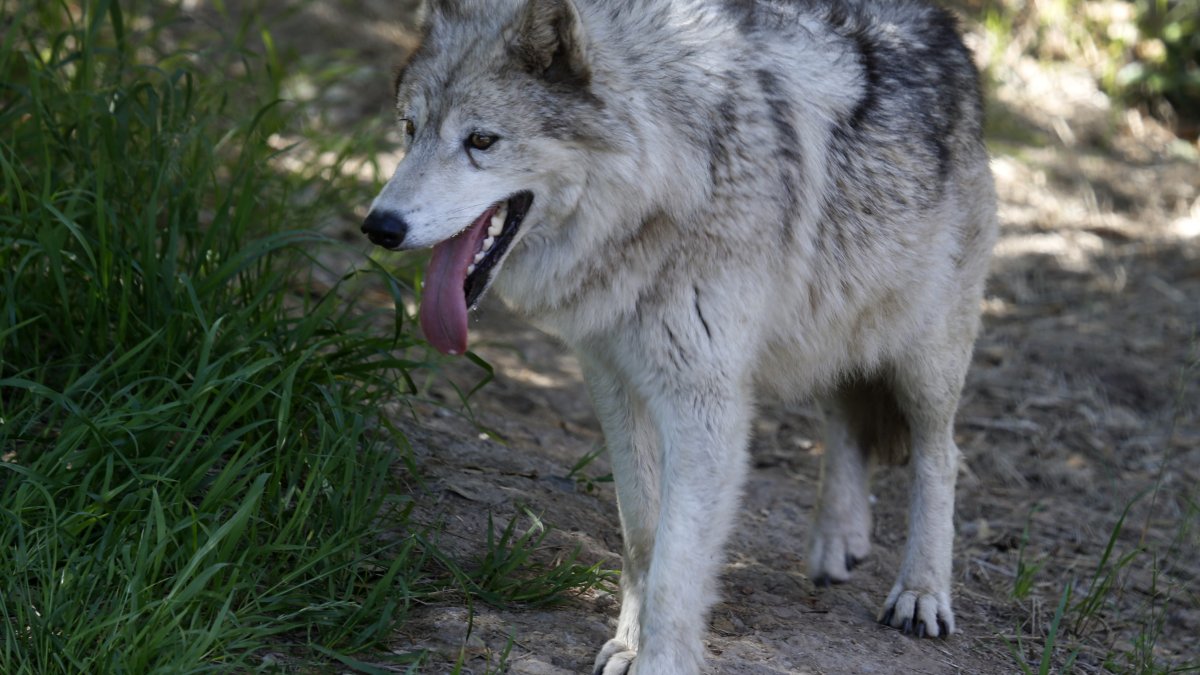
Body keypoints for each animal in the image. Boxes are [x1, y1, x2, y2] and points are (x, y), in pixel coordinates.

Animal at [362, 0, 997, 671]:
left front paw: (660, 659)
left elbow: (678, 562)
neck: (672, 183)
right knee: (846, 420)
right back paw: (835, 545)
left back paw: (921, 593)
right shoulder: (612, 381)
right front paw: (628, 642)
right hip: (834, 324)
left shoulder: (704, 404)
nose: (379, 227)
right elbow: (644, 536)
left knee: (941, 457)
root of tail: (945, 24)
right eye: (409, 128)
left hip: (924, 359)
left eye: (481, 141)